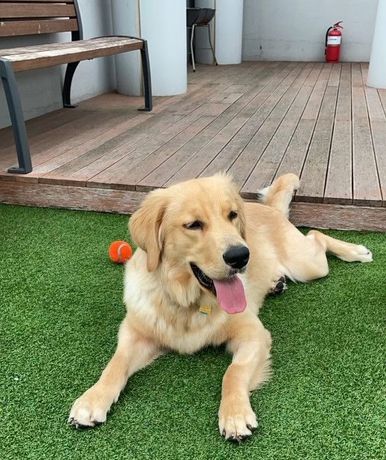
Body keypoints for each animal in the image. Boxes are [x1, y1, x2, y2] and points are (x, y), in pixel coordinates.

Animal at [68, 173, 372, 442]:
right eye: (193, 225)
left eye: (232, 215)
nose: (241, 256)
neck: (188, 303)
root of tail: (268, 208)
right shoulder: (135, 332)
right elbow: (114, 364)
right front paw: (91, 400)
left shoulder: (254, 334)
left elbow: (232, 373)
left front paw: (235, 415)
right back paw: (277, 282)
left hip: (308, 265)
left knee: (317, 235)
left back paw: (356, 251)